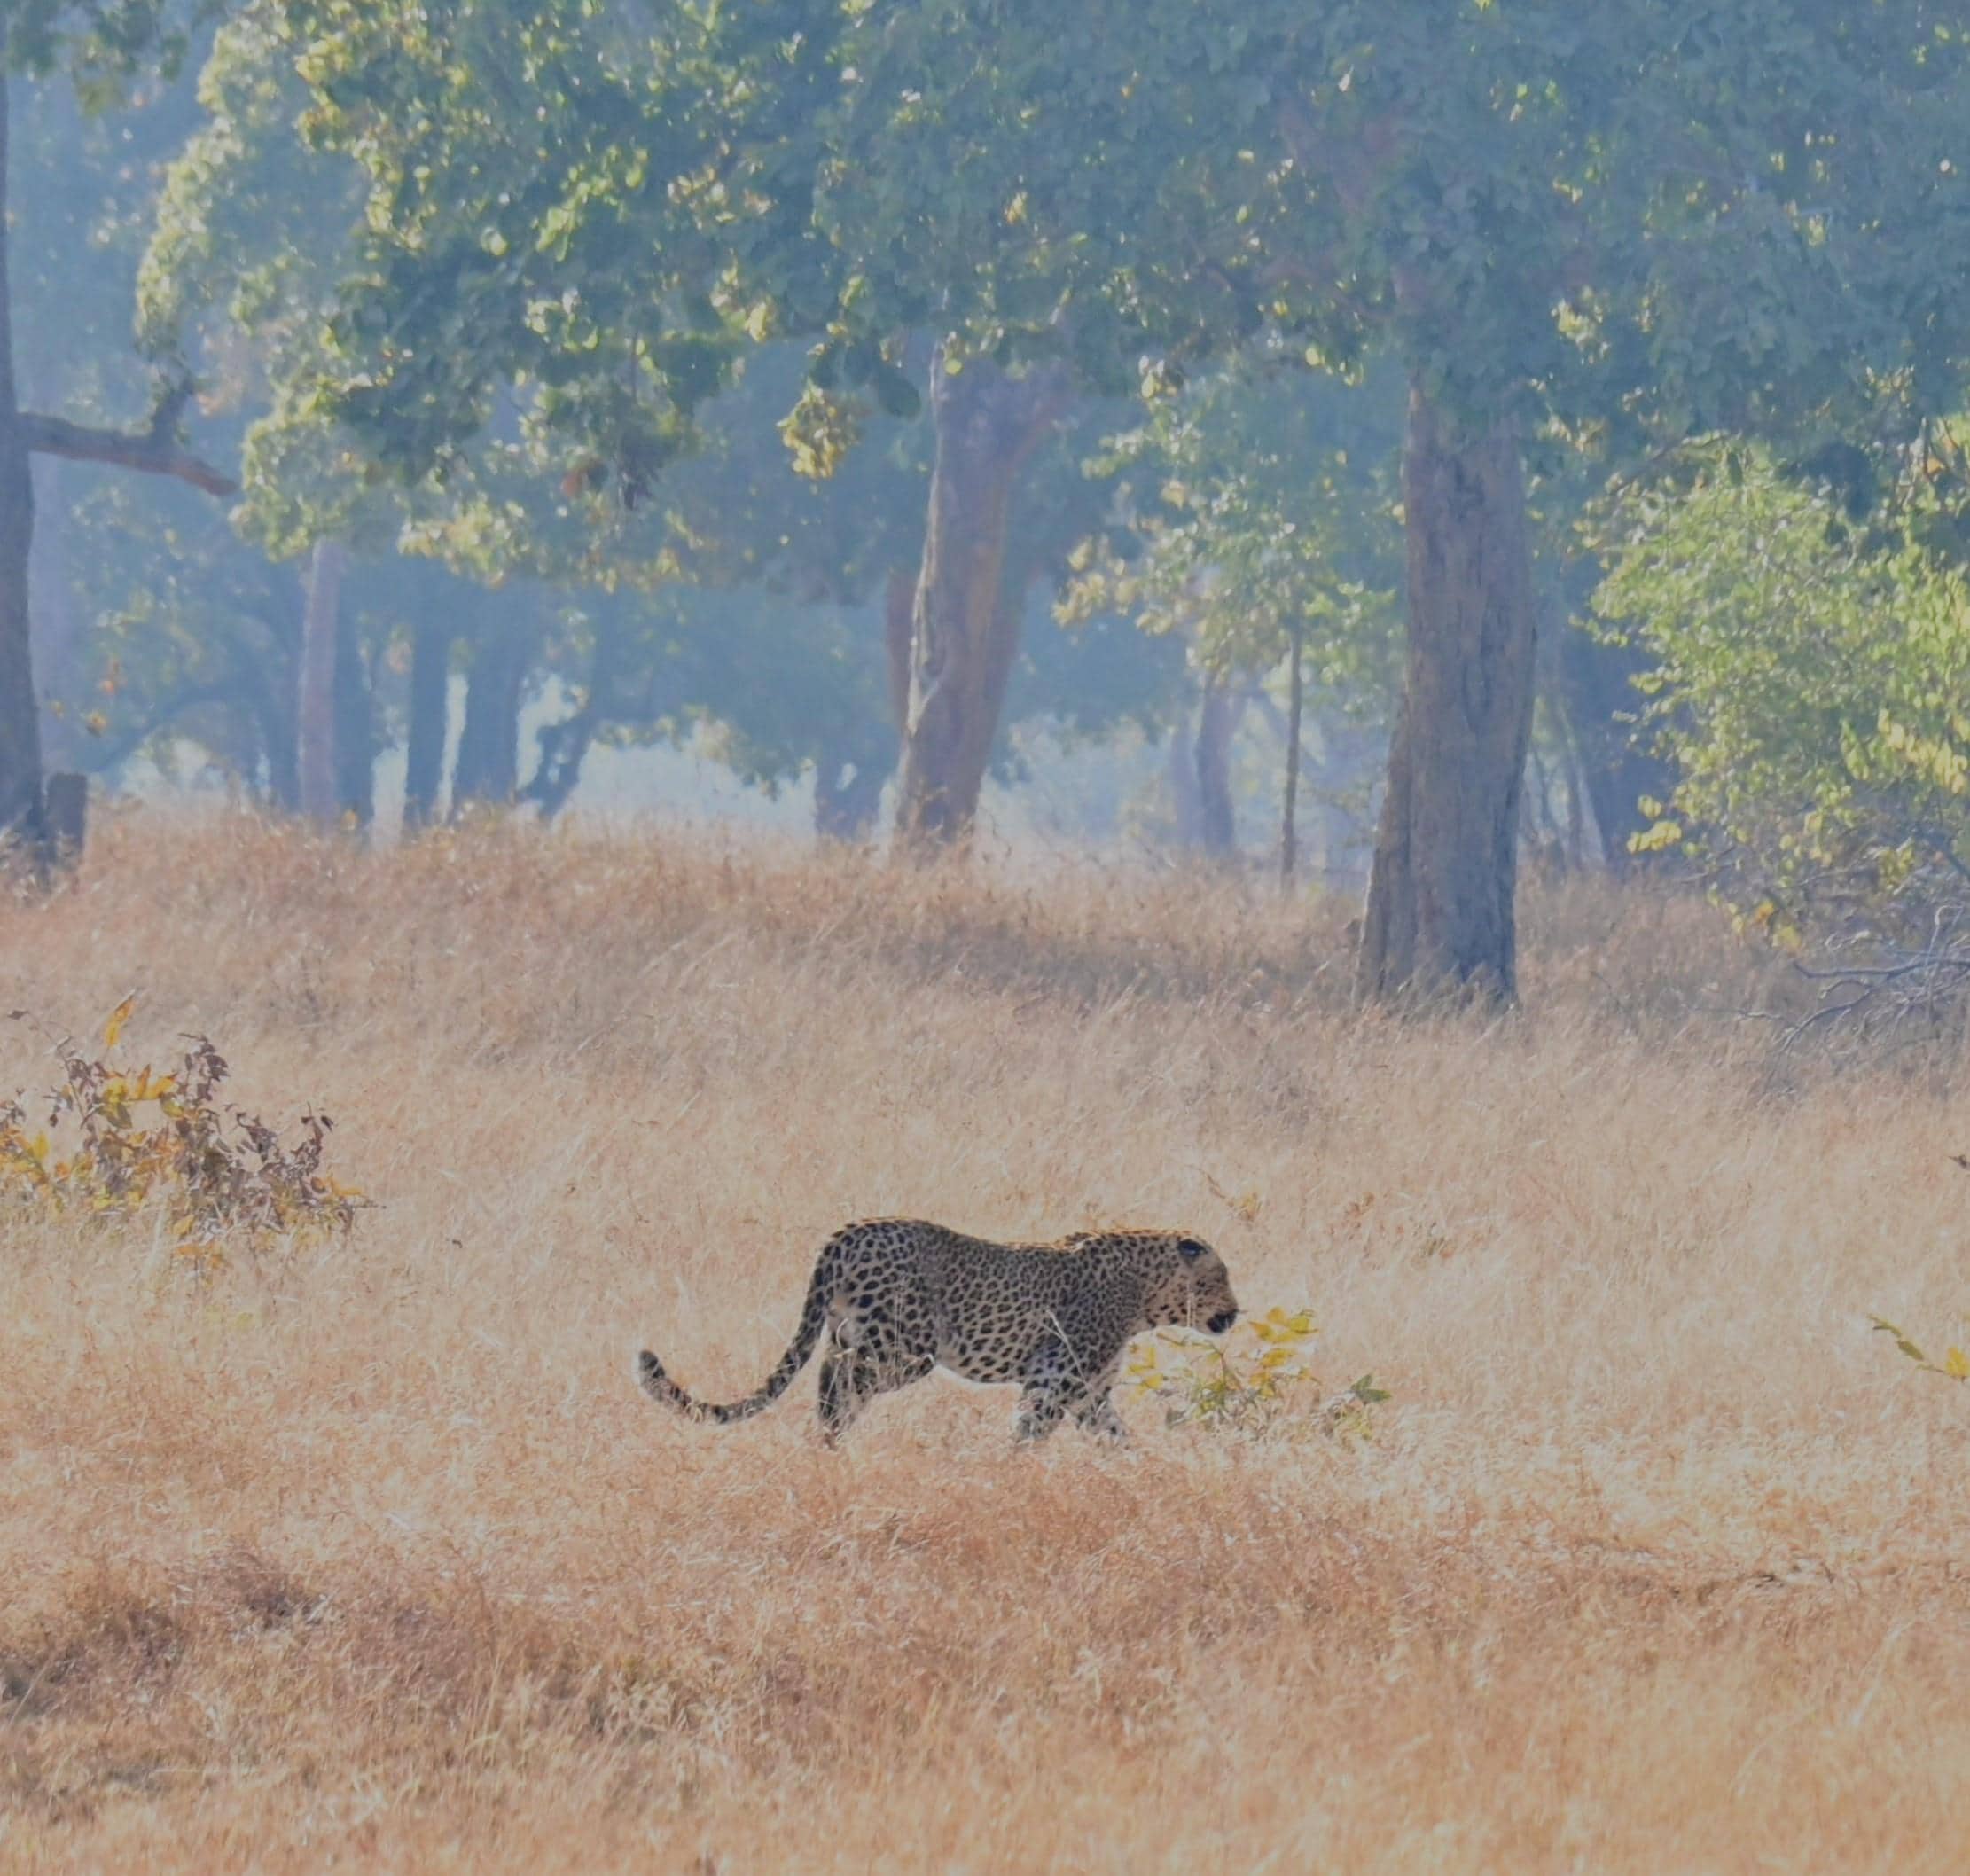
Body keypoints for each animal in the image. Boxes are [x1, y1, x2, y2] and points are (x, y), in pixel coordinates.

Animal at [637, 1222, 1237, 1442]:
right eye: (1221, 1277)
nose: (1235, 1313)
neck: (1147, 1291)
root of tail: (847, 1232)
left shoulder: (1088, 1390)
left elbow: (1114, 1433)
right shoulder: (1055, 1377)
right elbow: (1031, 1429)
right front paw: (1013, 1473)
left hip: (852, 1335)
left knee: (830, 1381)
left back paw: (829, 1445)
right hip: (901, 1350)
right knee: (842, 1386)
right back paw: (832, 1442)